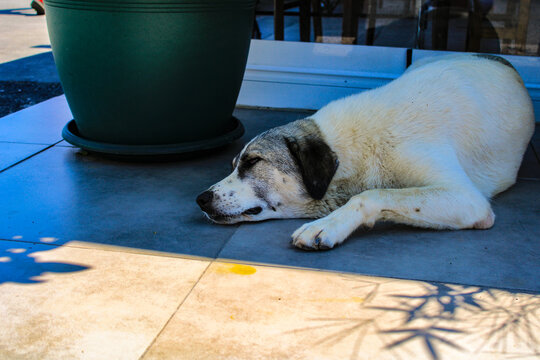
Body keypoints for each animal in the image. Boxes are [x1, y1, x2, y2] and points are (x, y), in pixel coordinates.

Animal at [196, 54, 532, 250]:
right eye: (233, 164)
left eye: (253, 161)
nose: (201, 199)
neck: (352, 149)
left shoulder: (466, 198)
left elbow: (372, 195)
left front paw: (327, 225)